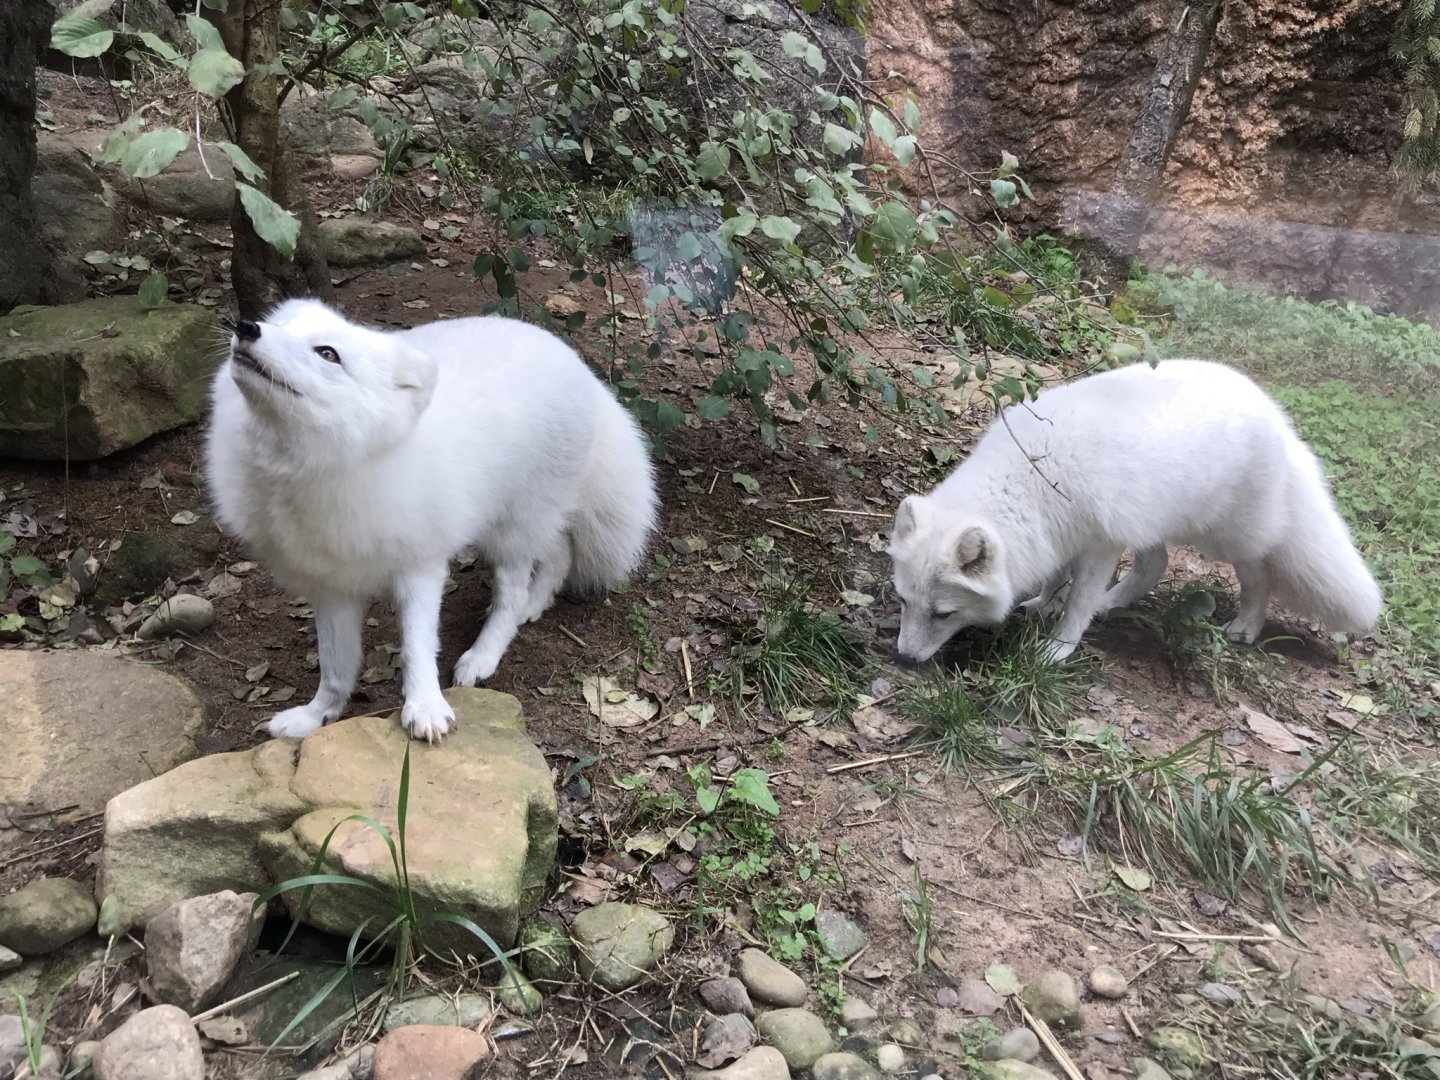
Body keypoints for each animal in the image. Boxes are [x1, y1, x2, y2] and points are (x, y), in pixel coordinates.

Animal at [205, 299, 658, 742]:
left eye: (328, 354)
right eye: (279, 325)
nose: (247, 327)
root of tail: (585, 371)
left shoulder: (420, 567)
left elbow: (417, 647)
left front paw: (425, 707)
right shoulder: (332, 585)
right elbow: (335, 665)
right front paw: (317, 716)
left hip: (511, 529)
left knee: (511, 594)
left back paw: (484, 653)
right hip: (523, 522)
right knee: (559, 552)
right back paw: (535, 603)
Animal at [886, 358, 1381, 664]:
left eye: (944, 614)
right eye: (904, 601)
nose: (904, 659)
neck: (1028, 479)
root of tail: (1282, 422)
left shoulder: (1100, 545)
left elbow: (1077, 601)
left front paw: (1059, 647)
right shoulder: (1057, 533)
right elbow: (1055, 578)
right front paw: (1044, 604)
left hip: (1227, 538)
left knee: (1259, 575)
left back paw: (1246, 625)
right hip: (1150, 526)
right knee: (1155, 565)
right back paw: (1113, 603)